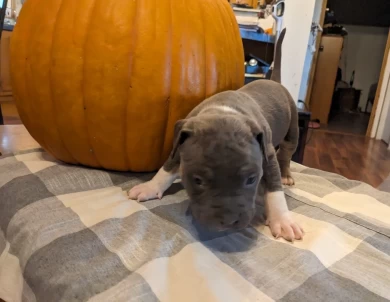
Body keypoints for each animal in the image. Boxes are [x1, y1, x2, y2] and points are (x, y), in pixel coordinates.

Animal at [129, 28, 304, 241]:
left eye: (251, 179)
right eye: (198, 180)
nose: (228, 222)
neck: (224, 111)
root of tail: (273, 82)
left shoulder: (268, 157)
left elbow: (274, 189)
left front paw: (282, 220)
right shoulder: (181, 143)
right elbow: (167, 168)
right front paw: (150, 187)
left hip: (292, 128)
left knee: (286, 153)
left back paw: (286, 175)